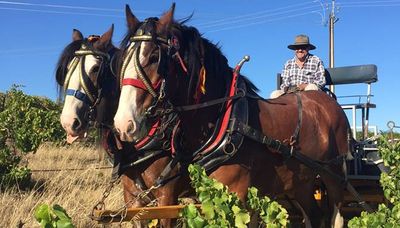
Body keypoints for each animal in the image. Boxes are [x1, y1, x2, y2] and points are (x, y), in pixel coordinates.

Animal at [112, 3, 350, 226]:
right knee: (314, 216)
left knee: (336, 214)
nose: (124, 124)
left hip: (334, 175)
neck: (225, 118)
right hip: (301, 181)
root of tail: (328, 102)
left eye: (154, 57)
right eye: (122, 60)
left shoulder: (231, 194)